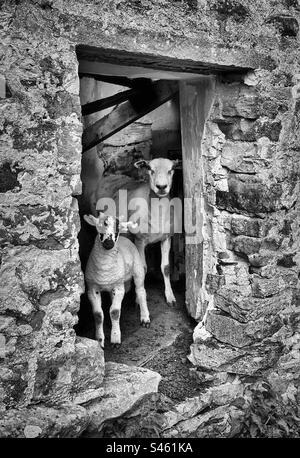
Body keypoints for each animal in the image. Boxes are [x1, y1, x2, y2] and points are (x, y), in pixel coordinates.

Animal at [83, 211, 150, 348]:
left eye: (117, 228)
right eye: (101, 224)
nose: (109, 243)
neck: (104, 269)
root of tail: (125, 238)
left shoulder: (119, 288)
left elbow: (114, 312)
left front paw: (115, 339)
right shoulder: (92, 289)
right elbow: (98, 315)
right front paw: (99, 340)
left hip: (138, 269)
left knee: (141, 291)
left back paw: (145, 317)